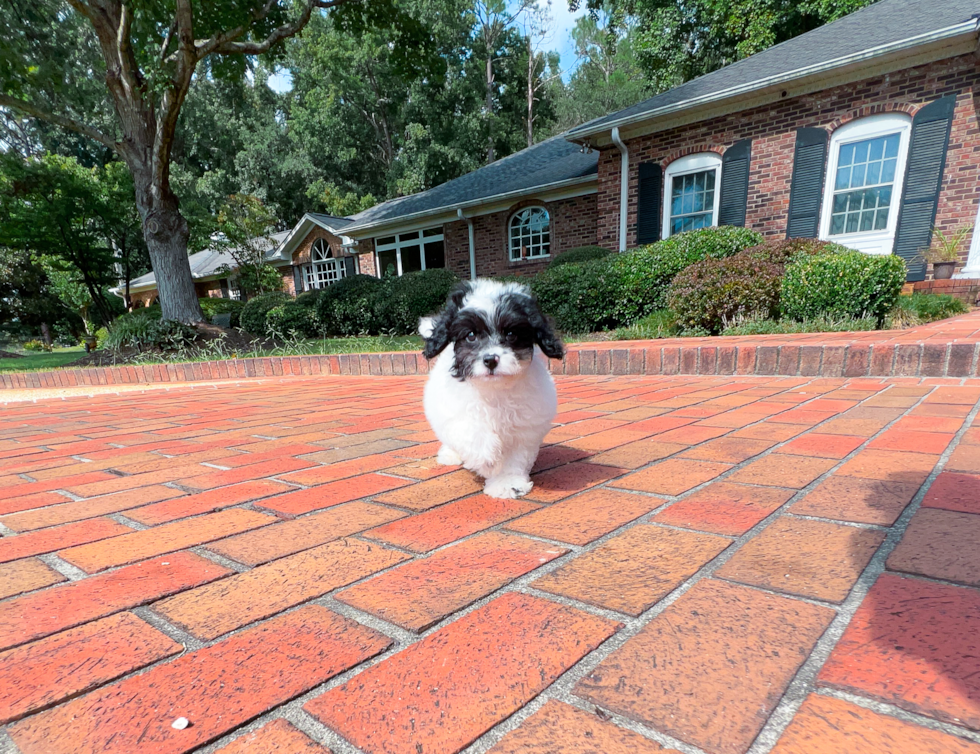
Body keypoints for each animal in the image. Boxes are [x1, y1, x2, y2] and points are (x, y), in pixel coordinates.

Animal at [418, 280, 564, 496]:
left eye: (511, 334)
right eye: (471, 335)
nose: (490, 359)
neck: (494, 389)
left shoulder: (526, 426)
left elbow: (516, 457)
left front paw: (507, 483)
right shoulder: (454, 410)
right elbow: (471, 431)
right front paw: (487, 459)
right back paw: (451, 454)